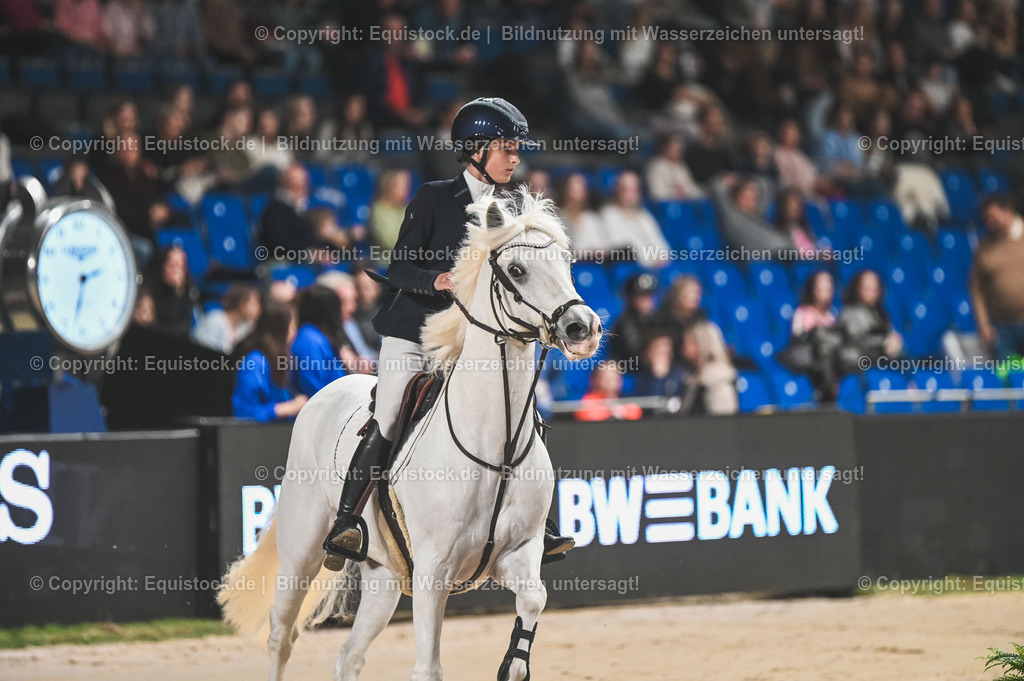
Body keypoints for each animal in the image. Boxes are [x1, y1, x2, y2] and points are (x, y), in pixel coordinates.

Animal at [218, 188, 603, 681]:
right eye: (517, 270)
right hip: (301, 552)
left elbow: (533, 604)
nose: (582, 329)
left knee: (349, 654)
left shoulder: (519, 552)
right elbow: (428, 667)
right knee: (281, 635)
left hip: (384, 577)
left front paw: (513, 660)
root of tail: (327, 392)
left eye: (567, 263)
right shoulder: (433, 572)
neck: (496, 447)